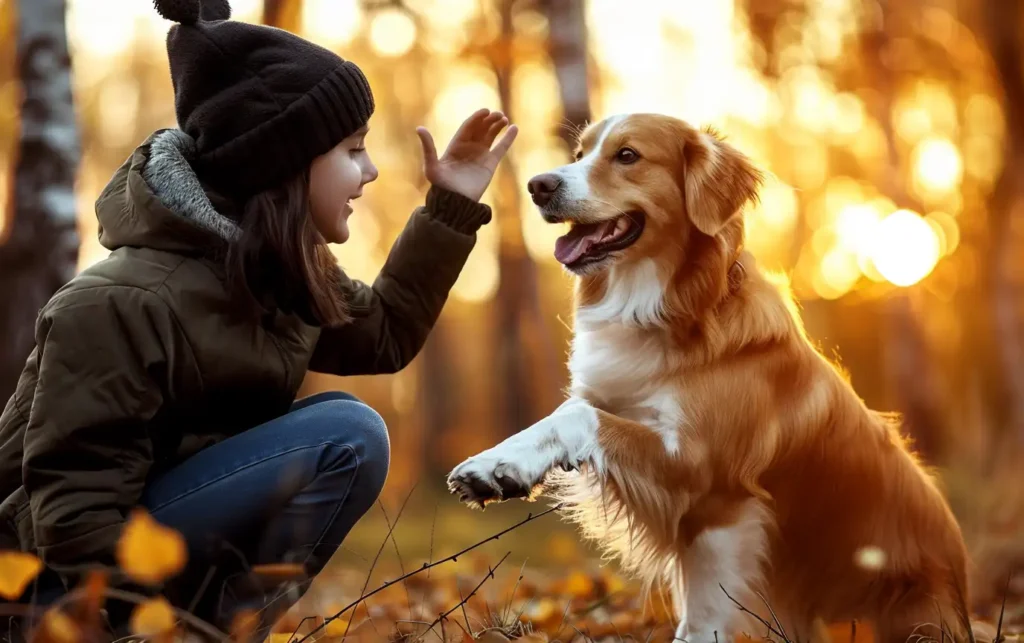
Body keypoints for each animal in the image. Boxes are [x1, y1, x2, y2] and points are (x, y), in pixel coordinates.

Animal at [444, 115, 987, 643]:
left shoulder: (711, 480)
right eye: (580, 154)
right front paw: (495, 465)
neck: (669, 308)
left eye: (627, 155)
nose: (539, 185)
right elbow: (568, 412)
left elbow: (704, 606)